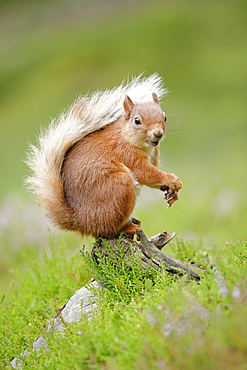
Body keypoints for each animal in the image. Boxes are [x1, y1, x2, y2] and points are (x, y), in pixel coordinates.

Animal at [26, 73, 182, 238]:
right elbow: (145, 173)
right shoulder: (126, 153)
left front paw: (171, 190)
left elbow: (152, 177)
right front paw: (170, 179)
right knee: (108, 229)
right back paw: (128, 227)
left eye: (164, 117)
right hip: (119, 186)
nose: (158, 133)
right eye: (137, 120)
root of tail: (82, 221)